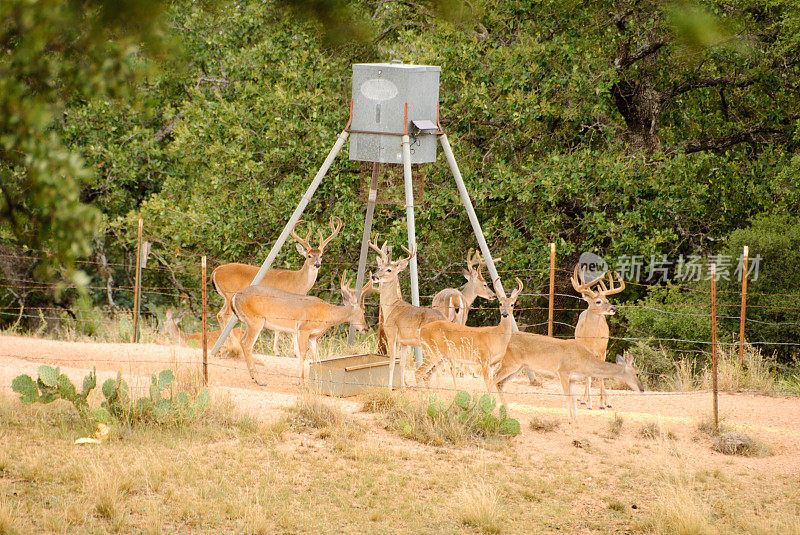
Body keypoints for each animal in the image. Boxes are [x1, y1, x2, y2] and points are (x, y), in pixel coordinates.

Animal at [212, 216, 340, 358]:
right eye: (309, 256)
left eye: (321, 255)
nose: (317, 264)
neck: (298, 282)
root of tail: (215, 271)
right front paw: (284, 351)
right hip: (230, 293)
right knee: (224, 316)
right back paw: (231, 346)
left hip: (226, 297)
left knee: (219, 314)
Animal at [231, 274, 368, 384]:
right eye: (363, 312)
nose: (366, 329)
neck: (327, 314)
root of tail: (235, 297)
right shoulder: (303, 329)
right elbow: (302, 354)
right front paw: (300, 381)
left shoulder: (313, 336)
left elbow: (316, 358)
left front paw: (318, 379)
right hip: (256, 321)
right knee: (247, 344)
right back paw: (260, 380)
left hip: (250, 322)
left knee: (242, 341)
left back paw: (253, 376)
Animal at [368, 238, 444, 390]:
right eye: (380, 266)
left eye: (389, 269)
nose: (374, 276)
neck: (391, 307)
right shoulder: (404, 342)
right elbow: (402, 364)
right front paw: (403, 388)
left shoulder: (391, 334)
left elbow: (391, 363)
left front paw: (389, 389)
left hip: (429, 344)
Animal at [490, 332, 648, 420]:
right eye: (637, 373)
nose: (642, 389)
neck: (584, 362)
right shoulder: (563, 371)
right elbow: (567, 397)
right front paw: (569, 419)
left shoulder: (573, 378)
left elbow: (573, 398)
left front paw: (576, 419)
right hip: (511, 362)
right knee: (492, 378)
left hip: (519, 367)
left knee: (499, 383)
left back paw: (507, 411)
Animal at [572, 264, 628, 410]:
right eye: (598, 301)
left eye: (607, 300)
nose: (613, 308)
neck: (592, 340)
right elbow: (588, 377)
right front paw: (590, 403)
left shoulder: (603, 351)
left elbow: (601, 376)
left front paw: (603, 403)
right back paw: (583, 400)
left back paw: (606, 401)